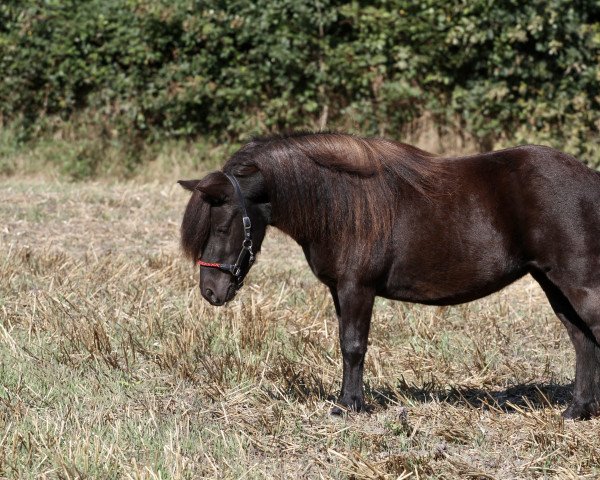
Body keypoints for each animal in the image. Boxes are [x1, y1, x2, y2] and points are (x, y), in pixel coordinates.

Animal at [178, 132, 600, 420]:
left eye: (223, 225)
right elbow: (346, 344)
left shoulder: (357, 289)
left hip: (579, 284)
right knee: (582, 340)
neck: (340, 203)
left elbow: (353, 345)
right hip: (554, 284)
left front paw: (348, 406)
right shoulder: (340, 291)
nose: (210, 291)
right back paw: (577, 410)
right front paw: (348, 399)